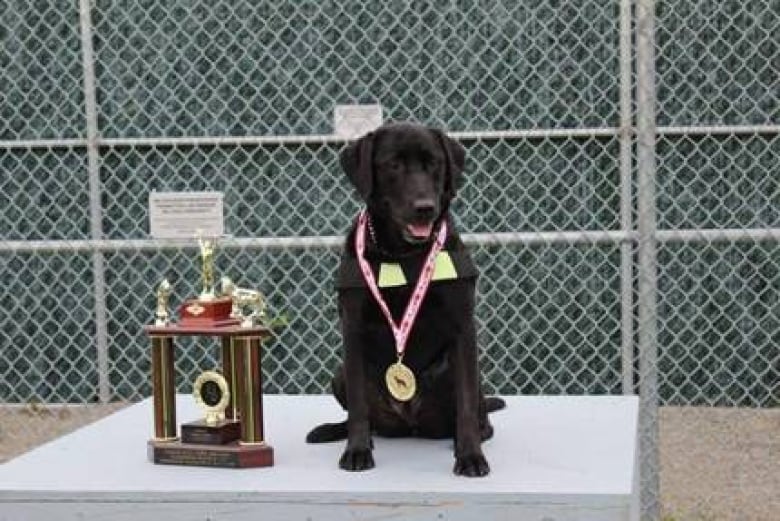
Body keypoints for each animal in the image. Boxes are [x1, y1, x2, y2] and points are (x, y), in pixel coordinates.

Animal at [304, 121, 506, 476]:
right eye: (394, 165)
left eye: (434, 163)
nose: (425, 208)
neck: (401, 255)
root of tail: (409, 425)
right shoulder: (352, 329)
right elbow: (358, 407)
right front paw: (356, 450)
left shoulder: (462, 328)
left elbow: (466, 404)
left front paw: (470, 455)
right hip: (339, 372)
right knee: (360, 415)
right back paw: (333, 431)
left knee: (477, 415)